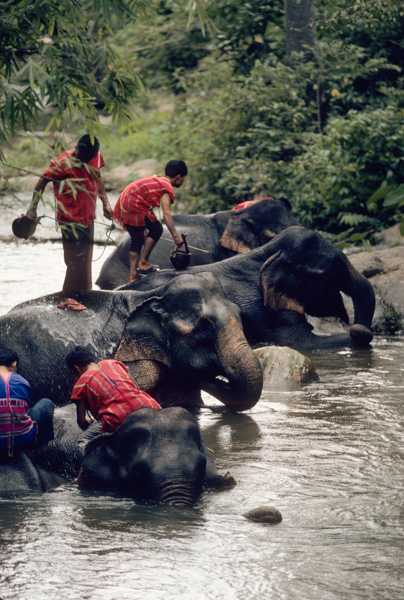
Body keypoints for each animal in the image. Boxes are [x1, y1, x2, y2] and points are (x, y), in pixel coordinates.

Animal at [120, 226, 376, 350]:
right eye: (329, 271)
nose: (356, 326)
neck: (269, 252)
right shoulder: (265, 311)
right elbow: (302, 343)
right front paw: (358, 337)